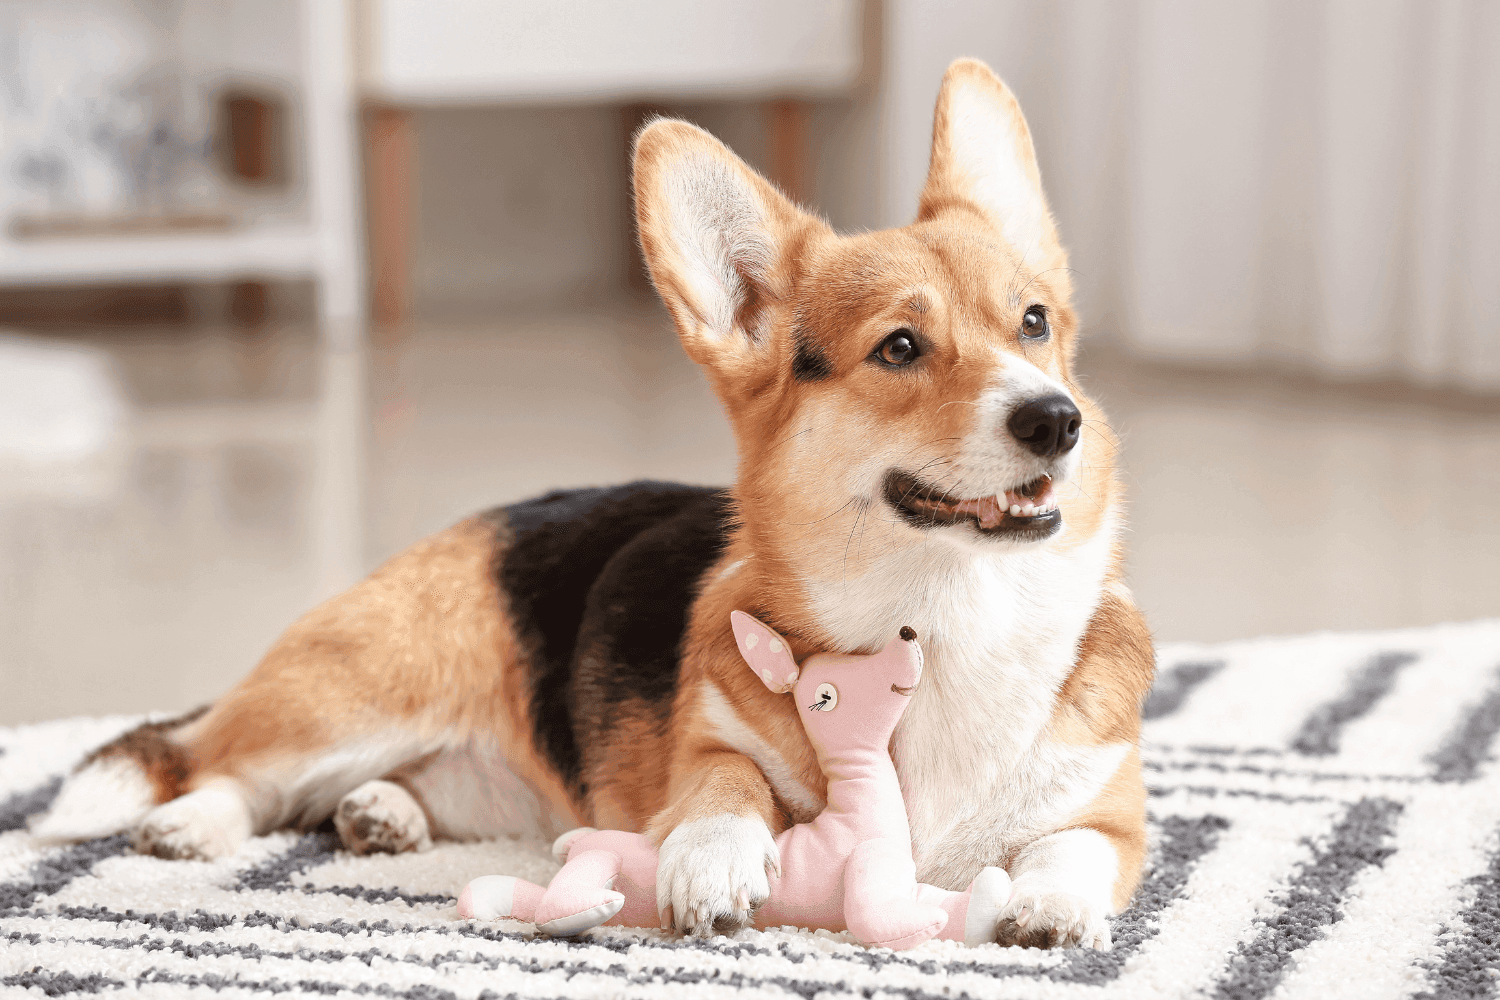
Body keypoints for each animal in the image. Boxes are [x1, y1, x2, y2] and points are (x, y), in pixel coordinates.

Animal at [33, 58, 1153, 951]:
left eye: (1034, 324)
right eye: (902, 347)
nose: (1056, 421)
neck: (946, 614)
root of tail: (469, 526)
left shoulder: (1117, 823)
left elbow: (1068, 850)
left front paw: (1049, 909)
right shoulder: (709, 750)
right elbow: (725, 786)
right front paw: (711, 859)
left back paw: (382, 814)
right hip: (351, 698)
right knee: (217, 759)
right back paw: (198, 822)